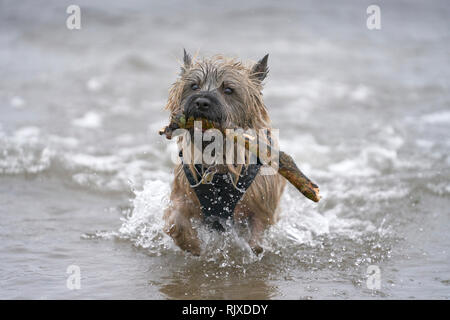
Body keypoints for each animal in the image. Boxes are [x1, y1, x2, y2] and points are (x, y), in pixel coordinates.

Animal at [163, 50, 286, 255]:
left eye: (228, 90)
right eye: (194, 86)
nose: (201, 102)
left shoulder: (262, 204)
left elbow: (257, 236)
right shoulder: (184, 192)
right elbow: (176, 222)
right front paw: (194, 247)